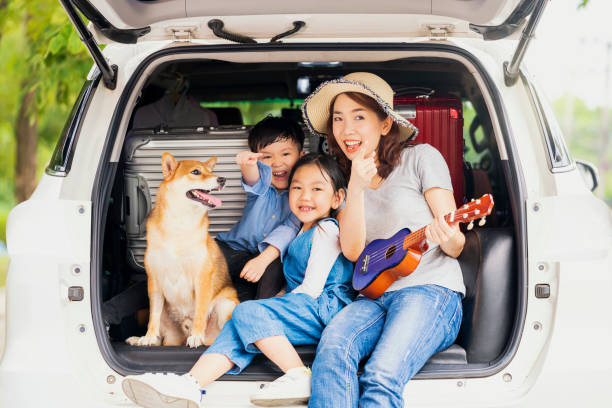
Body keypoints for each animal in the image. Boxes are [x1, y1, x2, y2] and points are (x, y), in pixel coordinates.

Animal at [125, 153, 238, 348]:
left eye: (211, 171)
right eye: (196, 172)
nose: (222, 179)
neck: (179, 225)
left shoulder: (202, 278)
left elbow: (200, 312)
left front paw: (196, 336)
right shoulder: (154, 280)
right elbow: (153, 318)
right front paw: (147, 337)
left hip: (225, 306)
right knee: (159, 334)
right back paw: (138, 339)